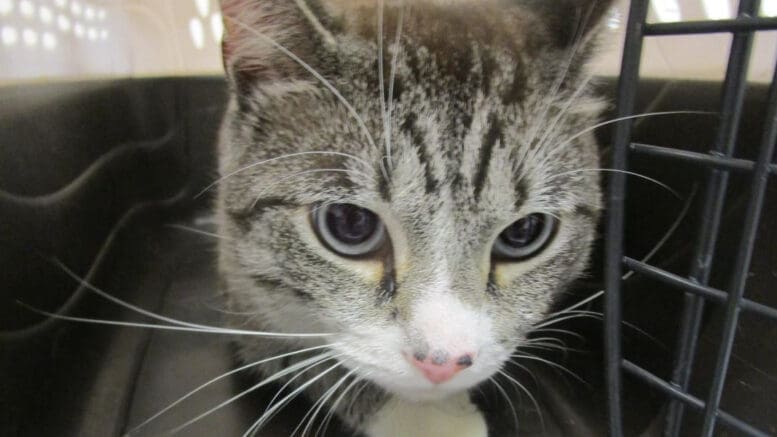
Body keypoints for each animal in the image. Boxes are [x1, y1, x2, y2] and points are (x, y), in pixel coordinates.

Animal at [214, 0, 612, 432]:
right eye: (349, 222)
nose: (442, 363)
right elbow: (301, 352)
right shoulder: (239, 297)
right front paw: (425, 419)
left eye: (524, 232)